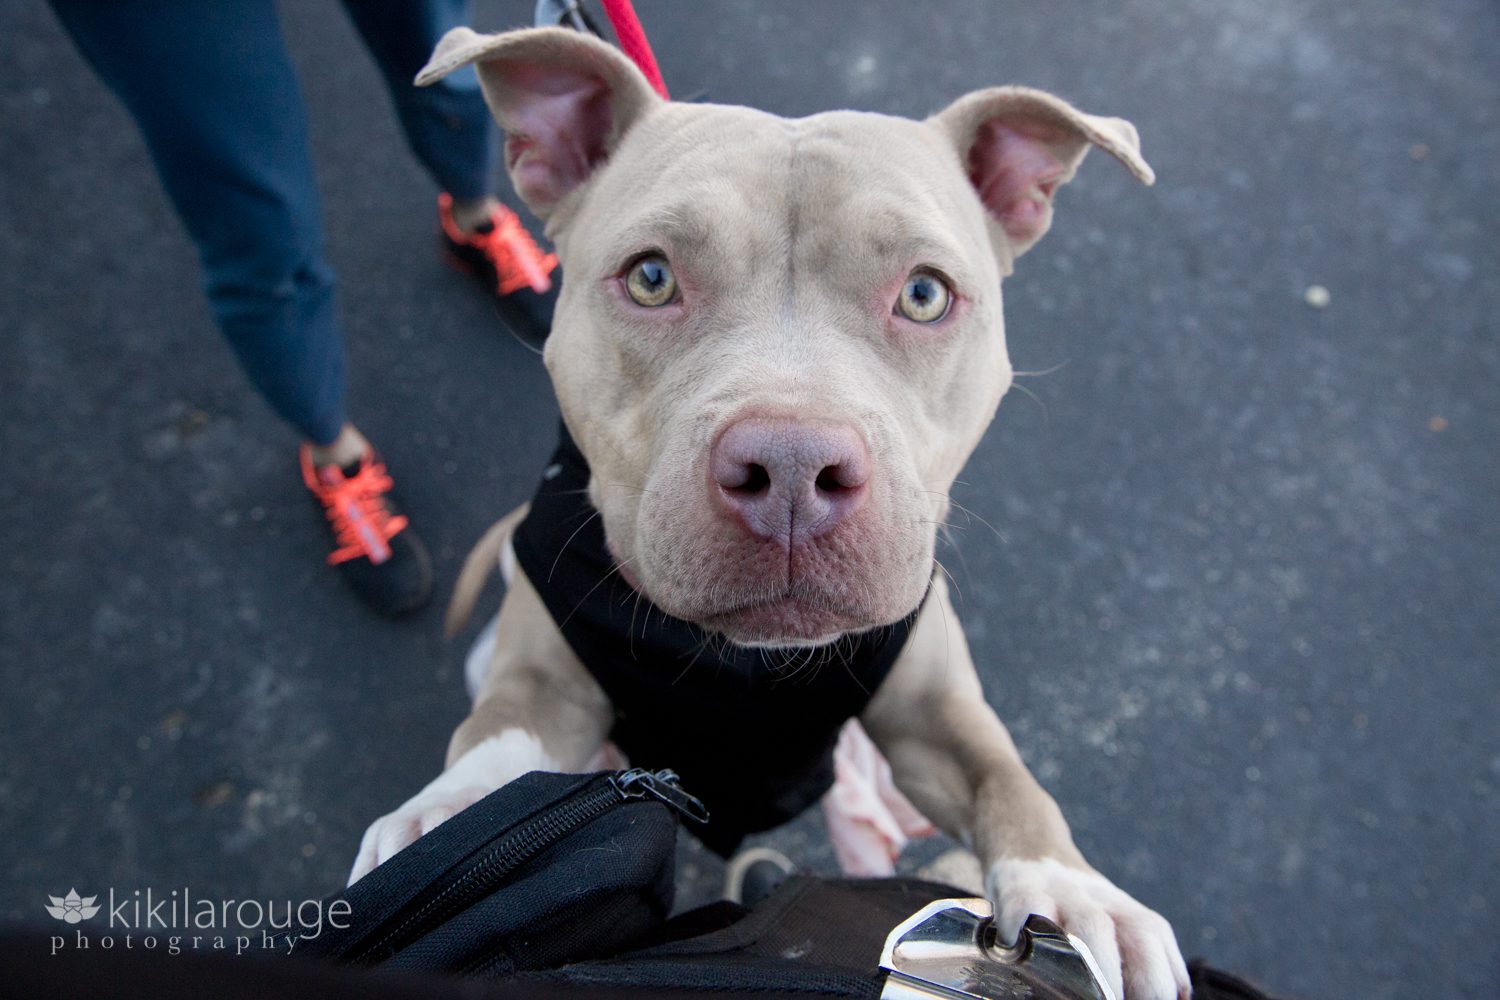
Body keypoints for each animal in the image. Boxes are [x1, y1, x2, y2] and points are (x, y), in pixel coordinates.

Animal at [345, 27, 1188, 995]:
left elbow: (1008, 777)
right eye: (650, 277)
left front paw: (1079, 897)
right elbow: (499, 737)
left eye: (925, 293)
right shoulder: (544, 676)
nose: (790, 468)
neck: (743, 664)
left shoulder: (932, 711)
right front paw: (447, 814)